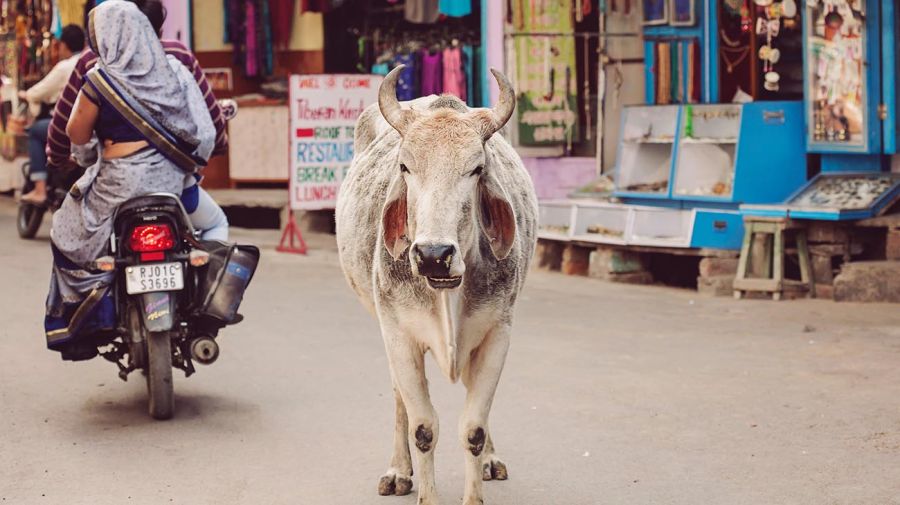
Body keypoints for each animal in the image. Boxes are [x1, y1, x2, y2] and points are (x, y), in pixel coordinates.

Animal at [335, 65, 537, 505]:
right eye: (405, 167)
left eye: (477, 168)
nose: (433, 254)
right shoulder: (398, 335)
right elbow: (423, 427)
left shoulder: (497, 333)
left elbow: (473, 428)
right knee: (400, 398)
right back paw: (398, 470)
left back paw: (490, 460)